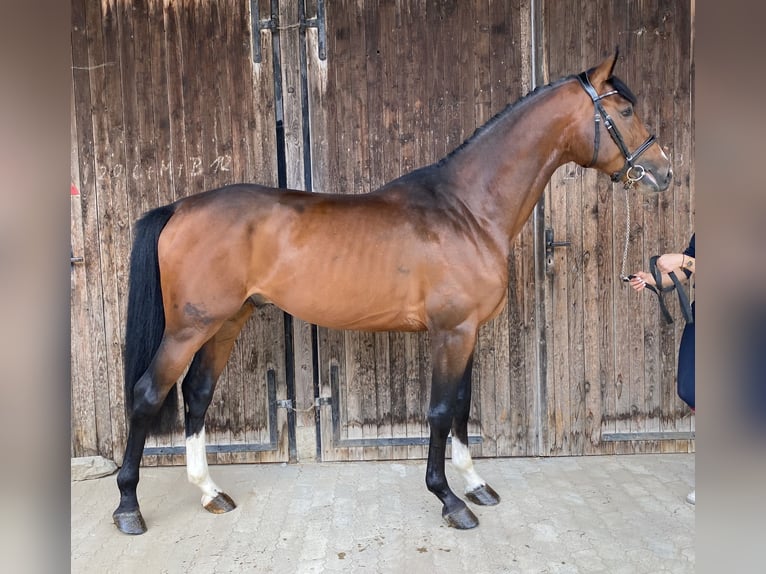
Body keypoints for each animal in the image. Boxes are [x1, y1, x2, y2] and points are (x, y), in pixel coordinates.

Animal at [113, 50, 672, 534]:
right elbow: (441, 411)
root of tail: (179, 208)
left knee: (197, 394)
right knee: (147, 395)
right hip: (188, 328)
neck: (467, 210)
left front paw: (476, 484)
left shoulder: (465, 332)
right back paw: (128, 508)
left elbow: (463, 405)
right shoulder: (451, 332)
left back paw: (210, 492)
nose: (664, 172)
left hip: (226, 322)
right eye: (625, 110)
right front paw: (449, 500)